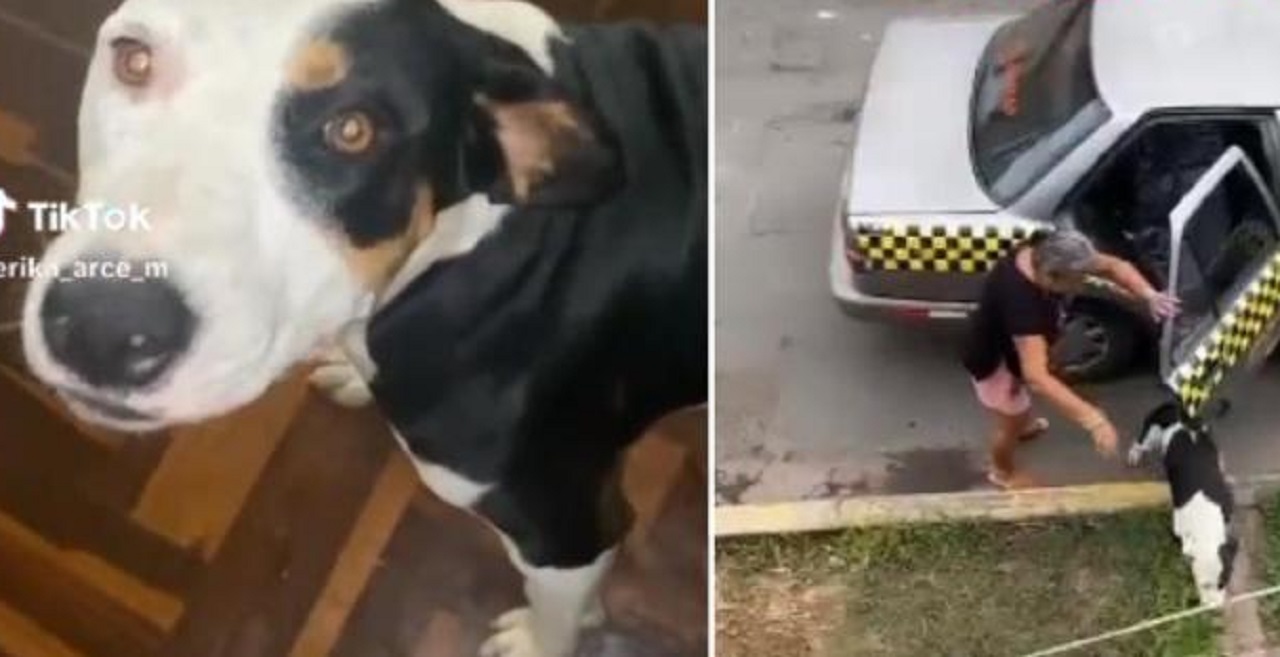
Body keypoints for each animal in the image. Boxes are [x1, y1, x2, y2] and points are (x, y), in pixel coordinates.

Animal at [17, 1, 711, 655]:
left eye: (354, 131)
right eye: (133, 59)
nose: (103, 326)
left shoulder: (565, 527)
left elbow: (559, 613)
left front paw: (542, 641)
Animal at [1136, 397, 1233, 607]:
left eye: (1222, 581)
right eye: (1202, 585)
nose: (1214, 606)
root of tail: (1183, 417)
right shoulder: (1179, 529)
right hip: (1153, 428)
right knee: (1142, 441)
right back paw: (1135, 454)